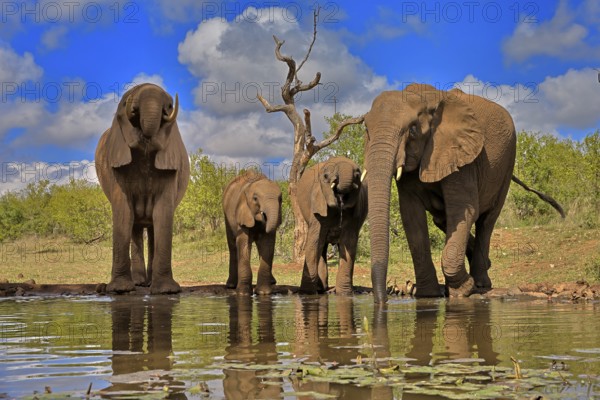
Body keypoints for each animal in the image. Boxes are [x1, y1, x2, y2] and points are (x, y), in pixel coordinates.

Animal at [95, 82, 189, 294]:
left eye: (169, 106)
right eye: (124, 103)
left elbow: (162, 213)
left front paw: (166, 291)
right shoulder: (116, 166)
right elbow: (123, 212)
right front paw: (120, 290)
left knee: (152, 226)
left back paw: (148, 282)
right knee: (134, 225)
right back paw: (138, 283)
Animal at [298, 156, 368, 294]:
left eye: (358, 175)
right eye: (325, 176)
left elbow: (348, 243)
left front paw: (344, 293)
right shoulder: (318, 204)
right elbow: (314, 241)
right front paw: (307, 293)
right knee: (321, 246)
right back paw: (320, 289)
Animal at [360, 83, 564, 304]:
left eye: (413, 130)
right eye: (366, 130)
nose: (382, 301)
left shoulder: (462, 156)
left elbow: (463, 210)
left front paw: (463, 289)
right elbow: (412, 218)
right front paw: (428, 294)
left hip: (507, 164)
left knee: (487, 221)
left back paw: (482, 282)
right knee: (442, 219)